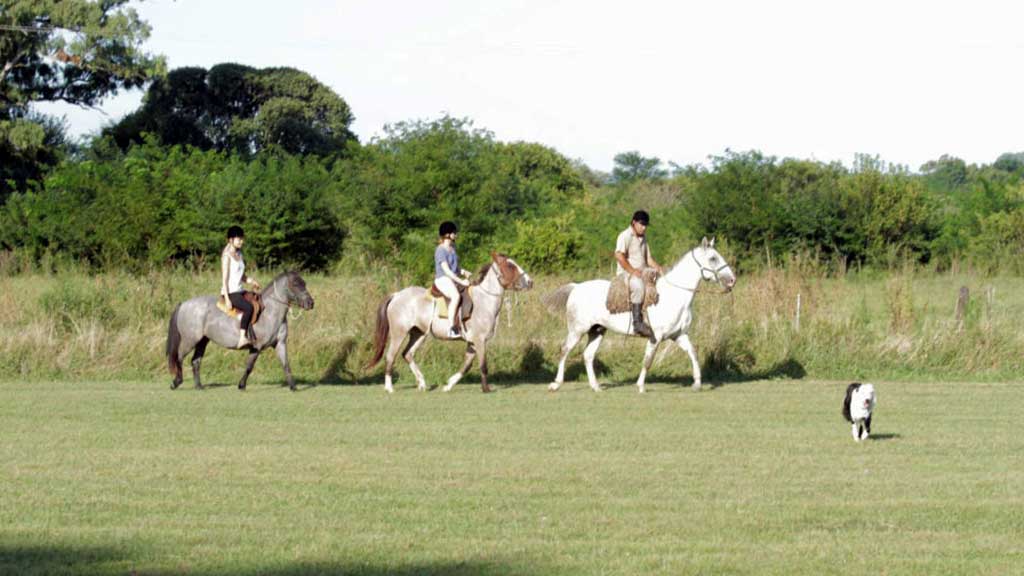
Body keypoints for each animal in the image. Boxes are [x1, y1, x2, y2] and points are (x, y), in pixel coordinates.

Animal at [164, 270, 311, 389]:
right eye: (295, 284)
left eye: (304, 283)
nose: (311, 303)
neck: (269, 312)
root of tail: (184, 304)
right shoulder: (257, 346)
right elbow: (250, 366)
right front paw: (241, 385)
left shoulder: (280, 344)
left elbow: (286, 365)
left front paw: (293, 387)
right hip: (190, 340)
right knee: (179, 357)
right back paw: (176, 382)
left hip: (202, 341)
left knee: (195, 361)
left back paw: (199, 386)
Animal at [366, 250, 532, 389]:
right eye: (510, 265)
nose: (530, 282)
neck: (484, 299)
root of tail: (396, 295)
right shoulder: (479, 340)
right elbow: (483, 365)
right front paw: (486, 389)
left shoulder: (472, 342)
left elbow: (467, 365)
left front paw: (449, 385)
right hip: (399, 333)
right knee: (391, 356)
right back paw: (389, 388)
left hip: (419, 333)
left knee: (407, 354)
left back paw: (422, 383)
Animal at [544, 235, 737, 391]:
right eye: (713, 258)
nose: (732, 280)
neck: (675, 295)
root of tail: (576, 287)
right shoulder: (655, 337)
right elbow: (648, 361)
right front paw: (641, 386)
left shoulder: (679, 335)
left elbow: (693, 353)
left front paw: (697, 383)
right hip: (577, 330)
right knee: (565, 350)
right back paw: (556, 384)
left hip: (597, 330)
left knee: (588, 355)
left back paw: (595, 386)